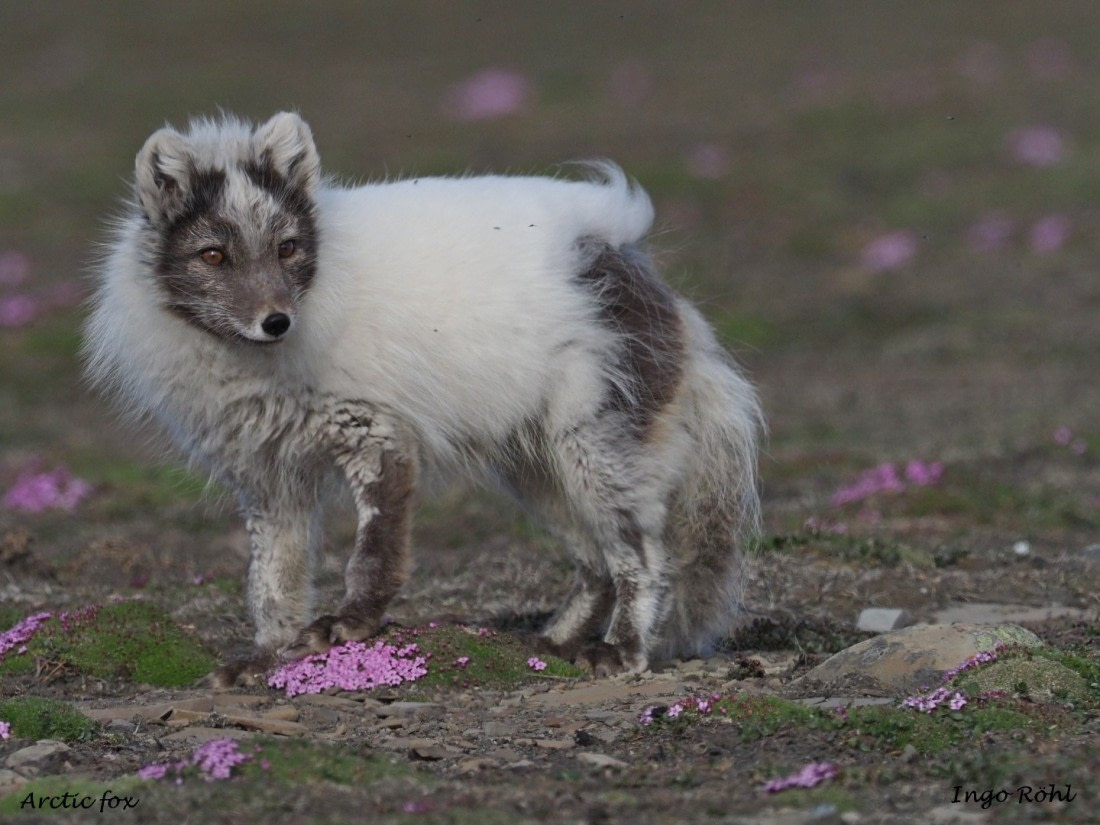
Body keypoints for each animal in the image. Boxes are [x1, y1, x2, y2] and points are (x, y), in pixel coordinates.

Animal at [82, 112, 763, 686]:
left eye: (287, 248)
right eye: (213, 255)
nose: (276, 322)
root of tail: (635, 266)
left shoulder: (376, 434)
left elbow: (372, 556)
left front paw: (345, 627)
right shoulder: (267, 478)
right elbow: (271, 584)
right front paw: (267, 660)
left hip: (595, 450)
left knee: (641, 553)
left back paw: (621, 651)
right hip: (535, 468)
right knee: (595, 562)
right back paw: (553, 644)